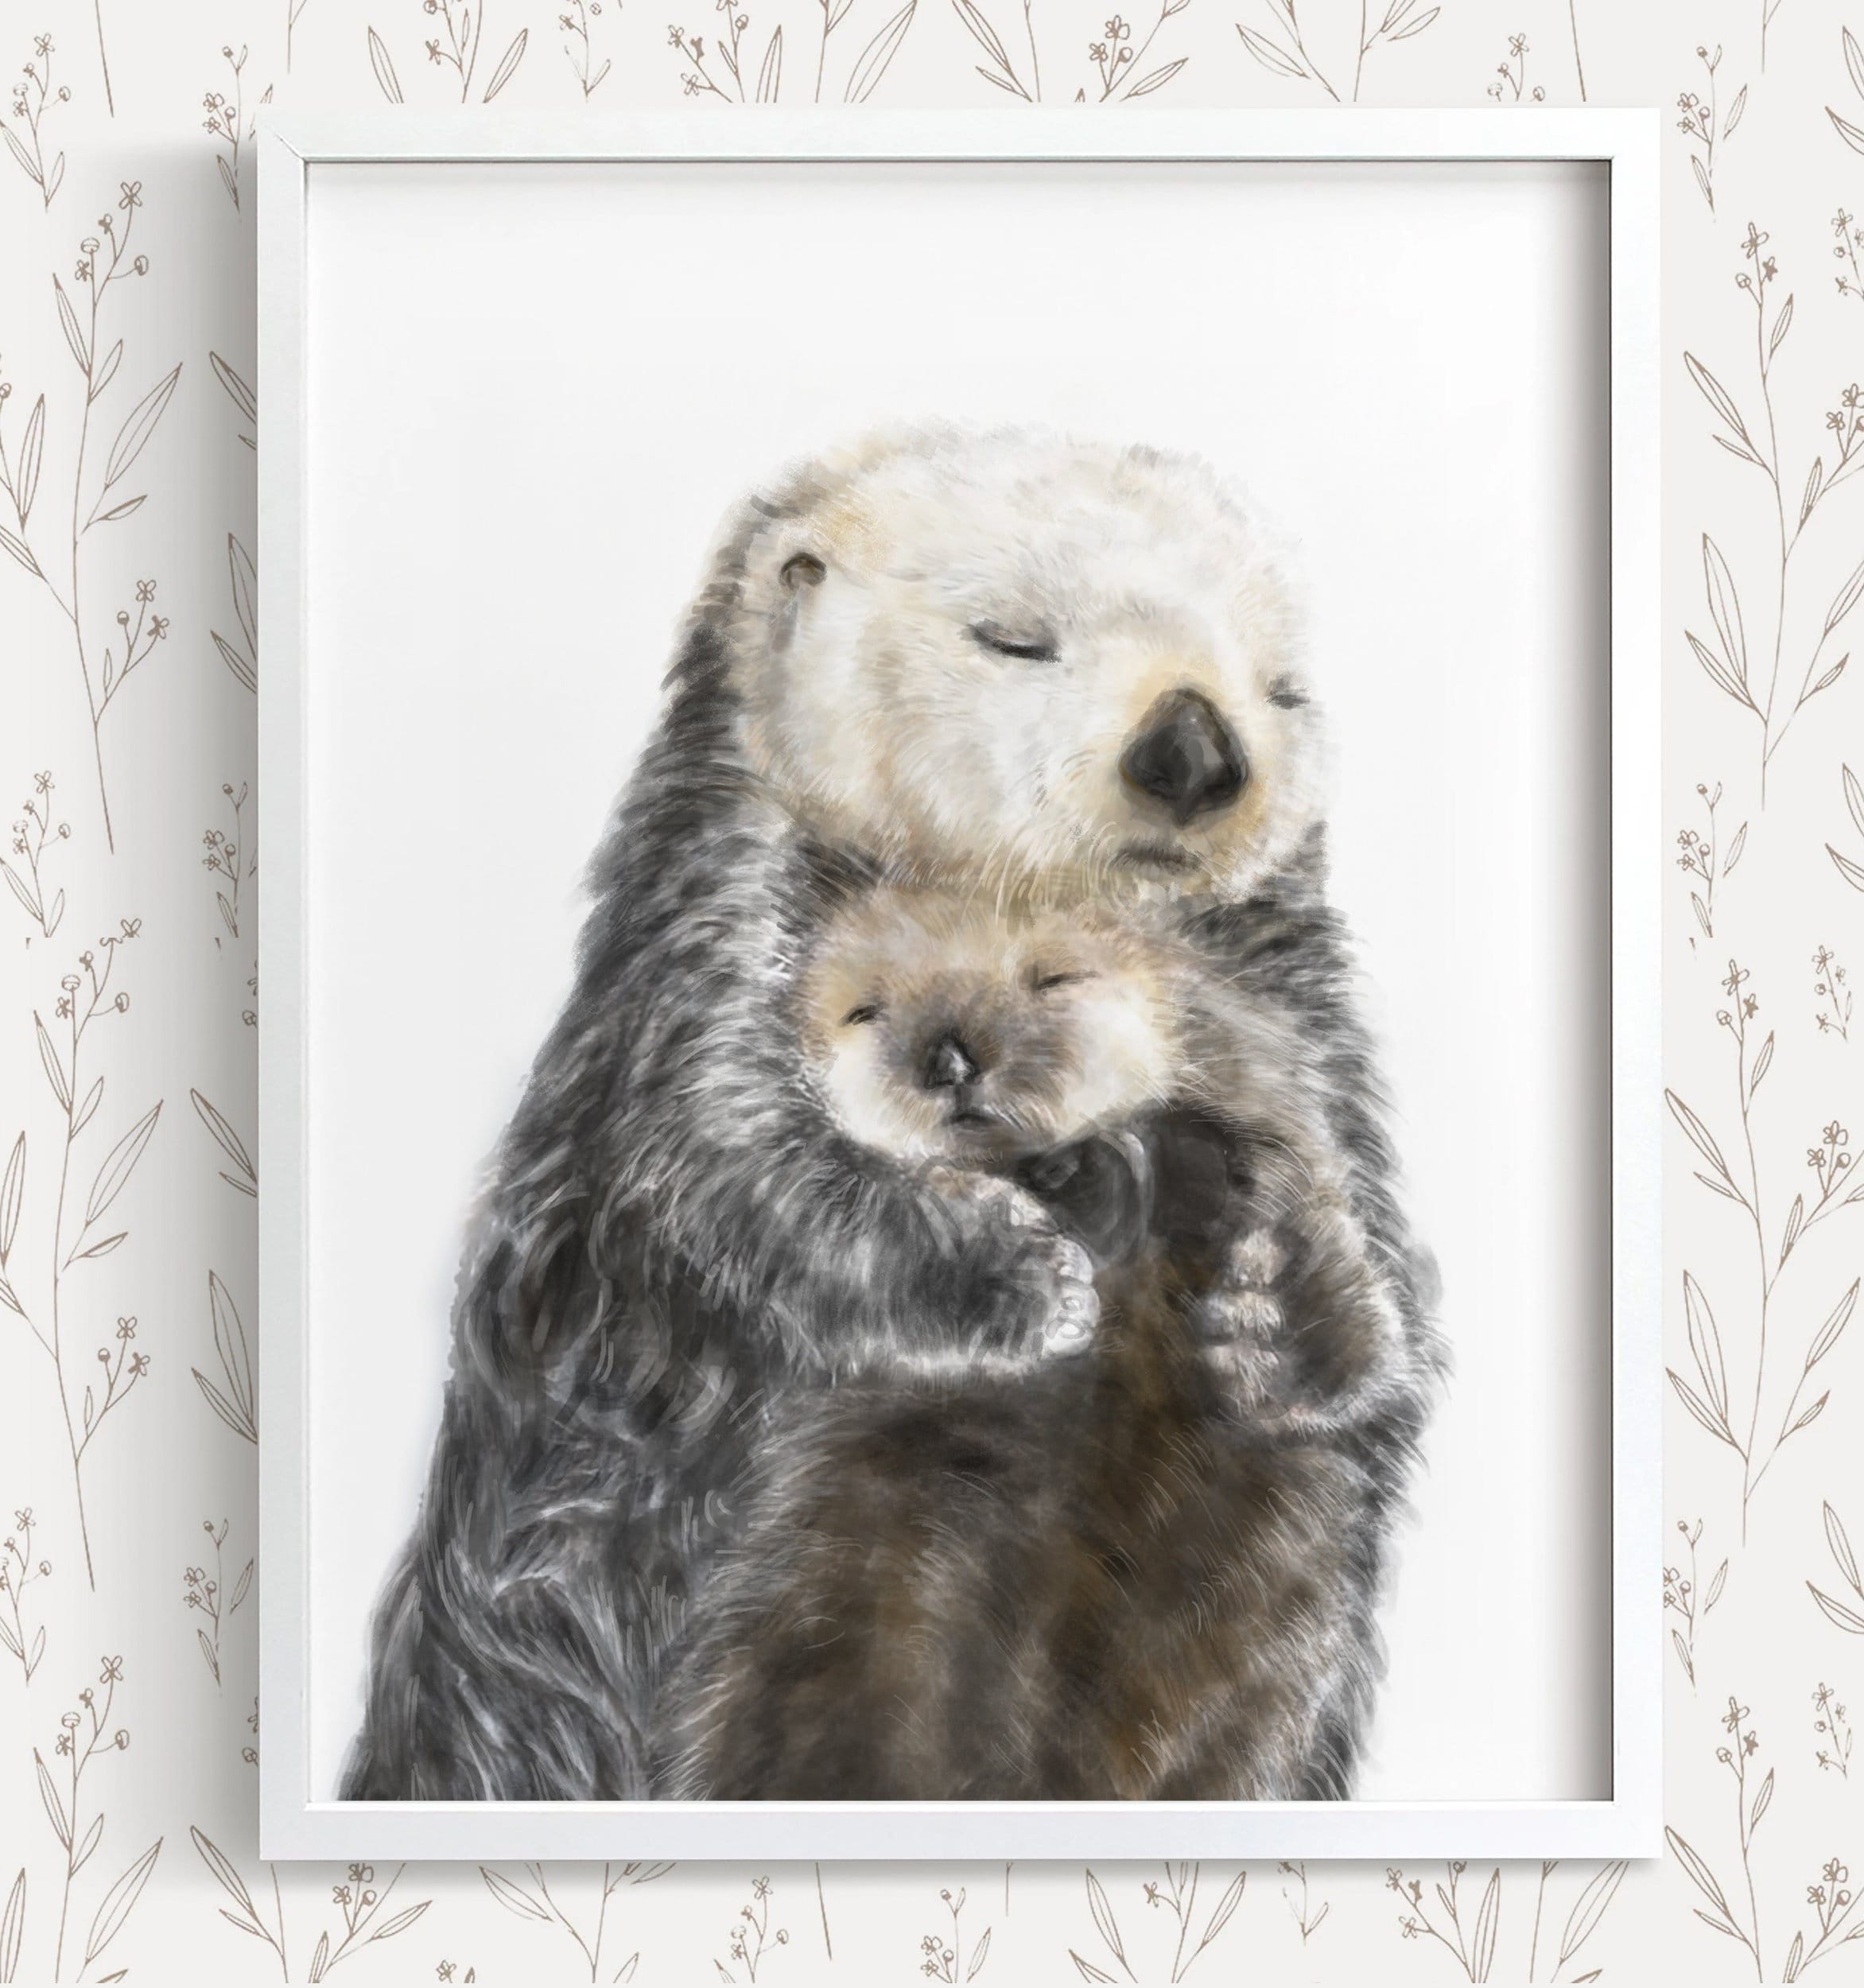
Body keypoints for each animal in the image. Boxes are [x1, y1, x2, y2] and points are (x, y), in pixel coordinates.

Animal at [342, 426, 1439, 1803]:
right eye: (1012, 637)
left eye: (1278, 686)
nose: (1194, 750)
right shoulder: (711, 929)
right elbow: (731, 1165)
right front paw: (1021, 1275)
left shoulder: (1289, 996)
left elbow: (1352, 1186)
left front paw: (1282, 1318)